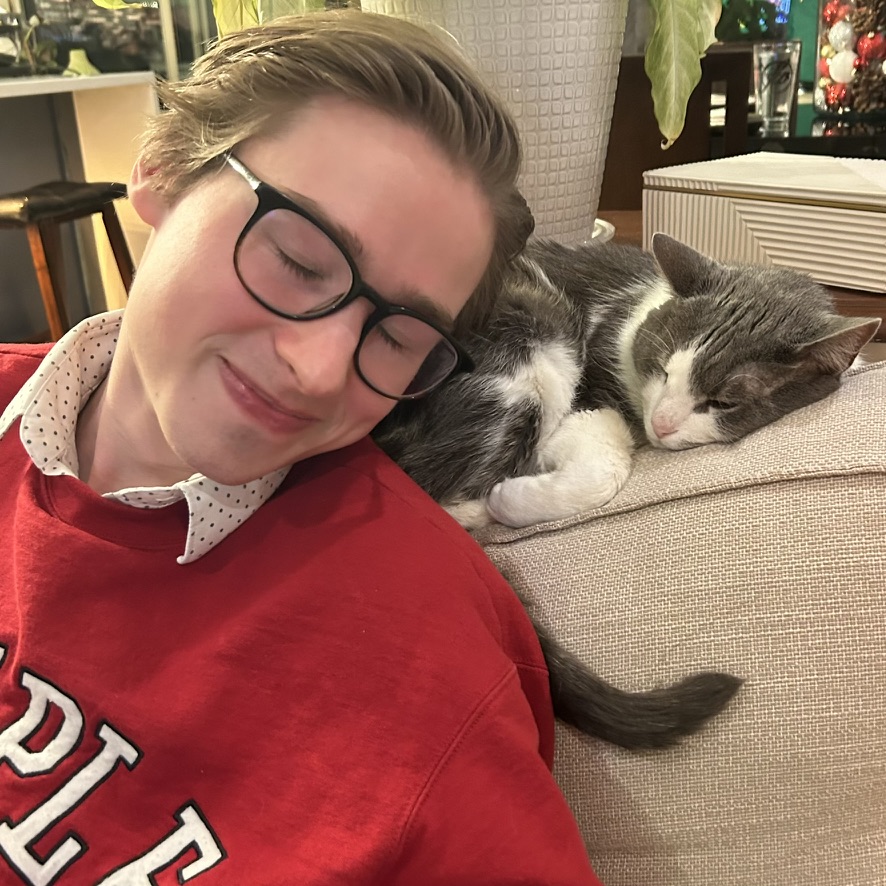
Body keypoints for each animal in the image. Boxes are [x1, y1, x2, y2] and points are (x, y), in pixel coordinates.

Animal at [376, 232, 880, 536]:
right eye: (662, 369)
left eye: (722, 402)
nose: (660, 424)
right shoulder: (588, 391)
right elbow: (604, 468)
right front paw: (508, 499)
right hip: (536, 333)